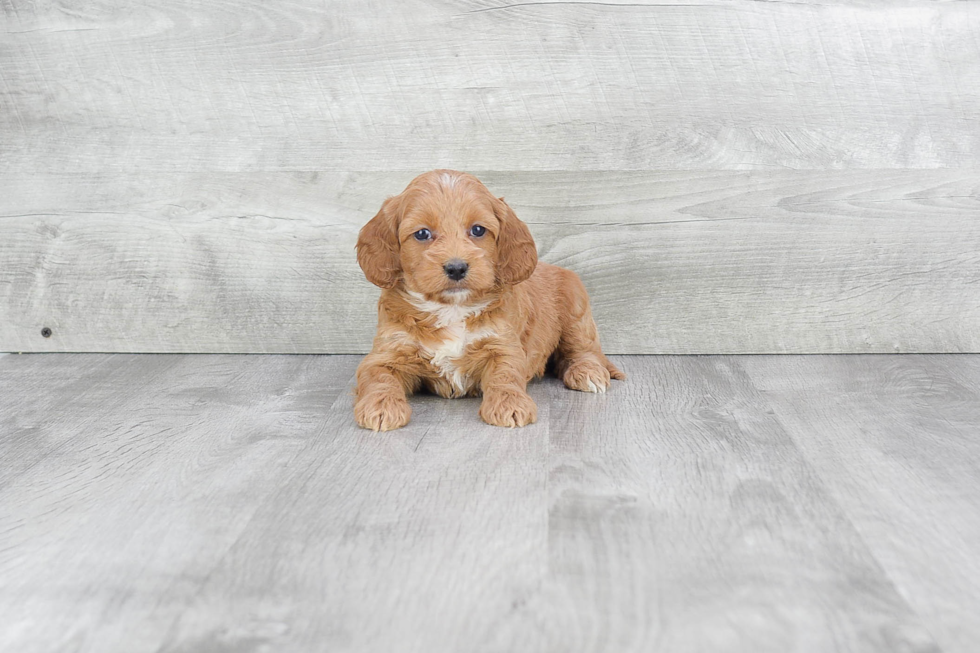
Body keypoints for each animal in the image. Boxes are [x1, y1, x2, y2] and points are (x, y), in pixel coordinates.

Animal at [356, 171, 624, 430]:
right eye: (422, 234)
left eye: (478, 230)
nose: (456, 268)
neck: (451, 309)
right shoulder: (387, 352)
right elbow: (378, 377)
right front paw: (381, 407)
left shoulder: (504, 345)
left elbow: (505, 374)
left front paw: (510, 404)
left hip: (576, 312)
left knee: (583, 350)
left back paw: (587, 373)